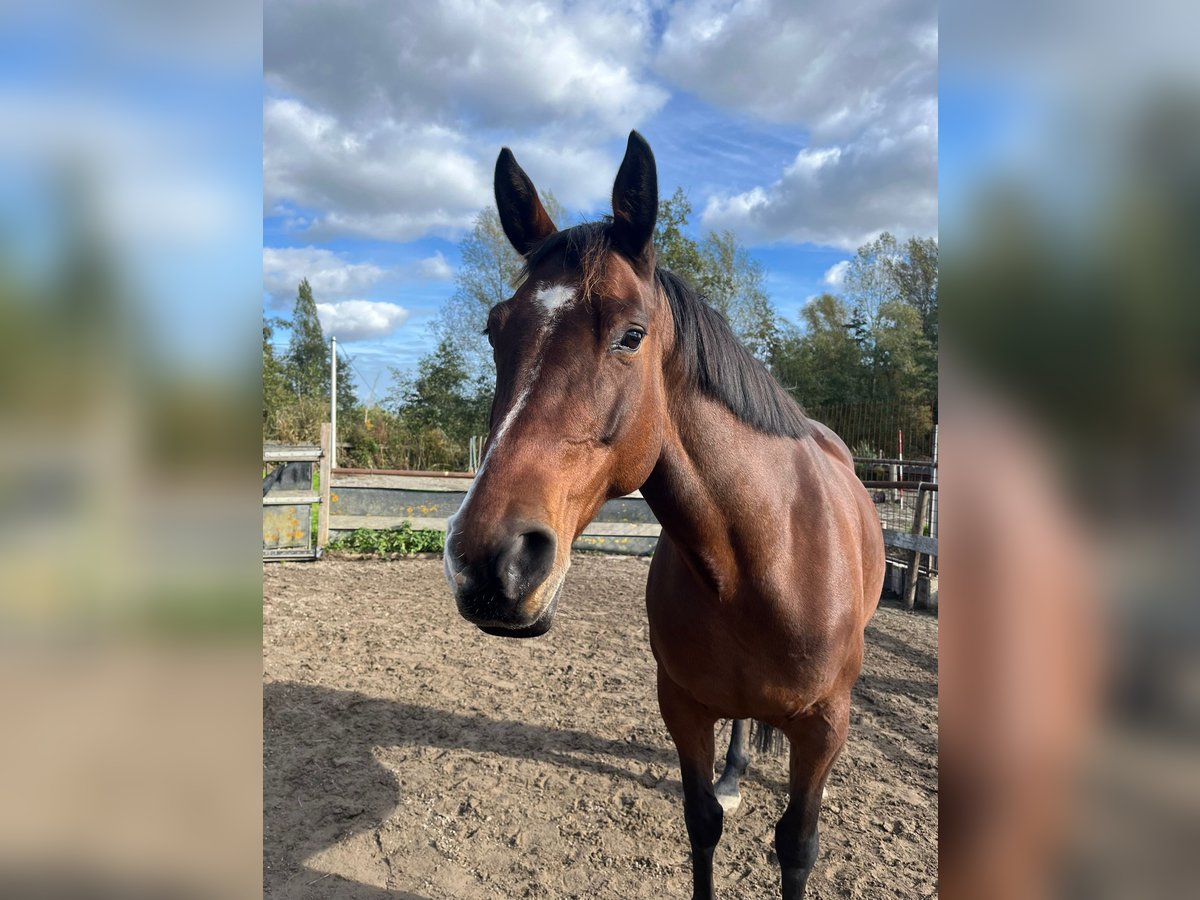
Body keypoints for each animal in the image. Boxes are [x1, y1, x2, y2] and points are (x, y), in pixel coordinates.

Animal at [444, 131, 885, 900]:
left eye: (631, 334)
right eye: (495, 330)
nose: (489, 562)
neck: (765, 556)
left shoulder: (826, 723)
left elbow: (798, 847)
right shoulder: (682, 707)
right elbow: (701, 824)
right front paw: (721, 792)